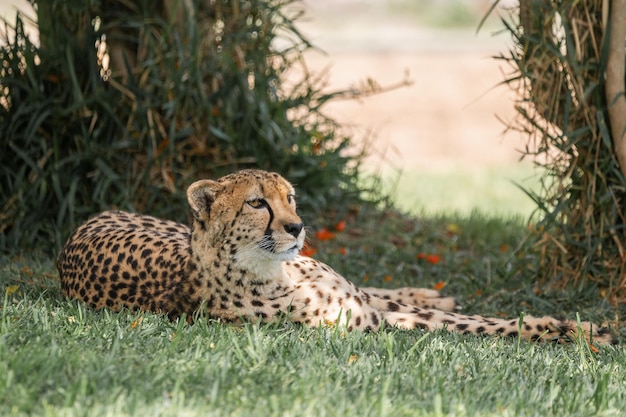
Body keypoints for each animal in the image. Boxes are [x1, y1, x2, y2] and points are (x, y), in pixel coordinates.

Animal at [57, 169, 616, 344]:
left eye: (290, 198)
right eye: (257, 203)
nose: (296, 227)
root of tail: (80, 226)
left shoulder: (364, 305)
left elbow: (468, 316)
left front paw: (580, 327)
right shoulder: (369, 323)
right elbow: (484, 325)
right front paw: (569, 330)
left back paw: (430, 289)